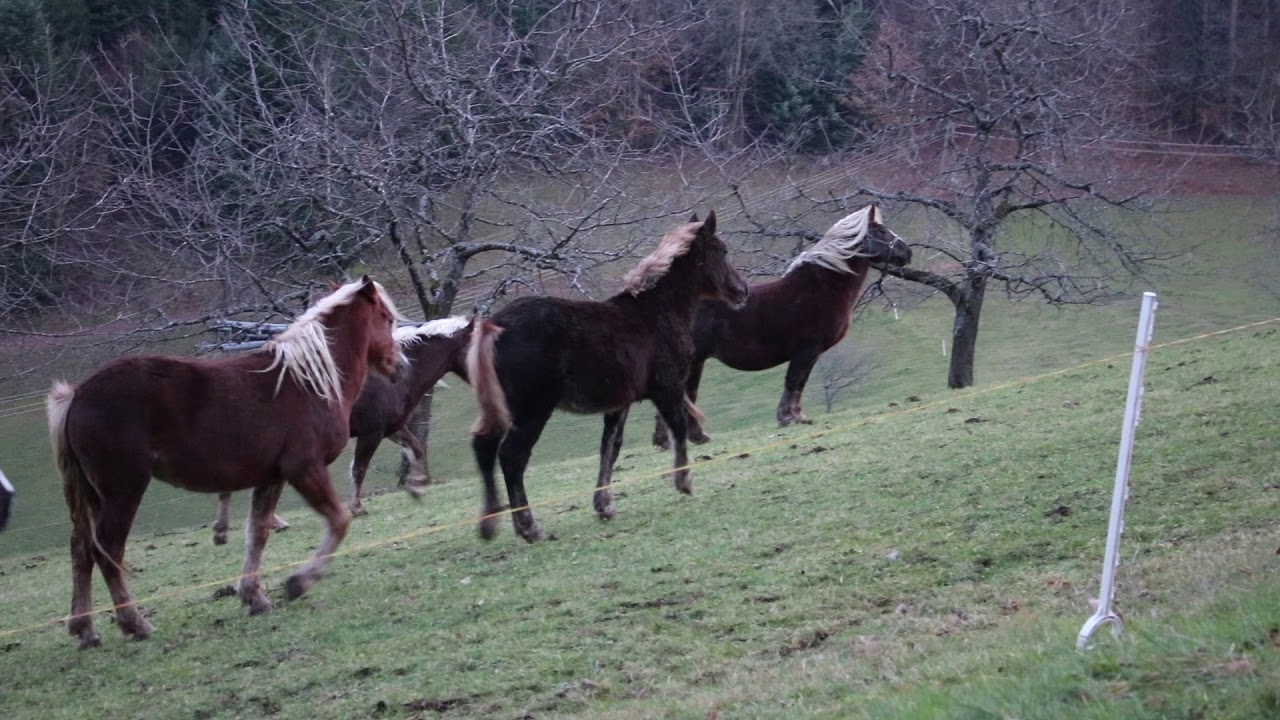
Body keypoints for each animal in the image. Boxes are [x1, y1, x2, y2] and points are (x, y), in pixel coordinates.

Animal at [47, 274, 404, 645]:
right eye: (386, 318)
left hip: (95, 495)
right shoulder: (305, 469)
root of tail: (78, 394)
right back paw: (134, 623)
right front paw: (298, 582)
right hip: (124, 490)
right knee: (108, 550)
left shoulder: (272, 477)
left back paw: (85, 629)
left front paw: (254, 597)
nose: (399, 365)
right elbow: (339, 520)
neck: (308, 380)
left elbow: (258, 533)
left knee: (81, 549)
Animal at [209, 313, 476, 538]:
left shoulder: (391, 429)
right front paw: (356, 507)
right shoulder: (371, 433)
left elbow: (415, 448)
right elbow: (359, 468)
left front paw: (416, 486)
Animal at [468, 210, 747, 540]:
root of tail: (493, 326)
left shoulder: (620, 403)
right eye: (722, 250)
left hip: (502, 407)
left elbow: (610, 448)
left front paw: (604, 506)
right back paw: (529, 528)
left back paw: (489, 525)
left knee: (484, 448)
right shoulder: (667, 389)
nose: (742, 291)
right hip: (531, 409)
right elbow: (678, 429)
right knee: (511, 457)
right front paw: (684, 483)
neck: (657, 312)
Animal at [655, 204, 916, 445]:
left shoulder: (811, 353)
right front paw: (788, 418)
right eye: (880, 231)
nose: (907, 252)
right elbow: (793, 381)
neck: (820, 288)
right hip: (695, 361)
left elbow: (799, 383)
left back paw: (664, 441)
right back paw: (695, 436)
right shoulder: (807, 350)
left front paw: (796, 416)